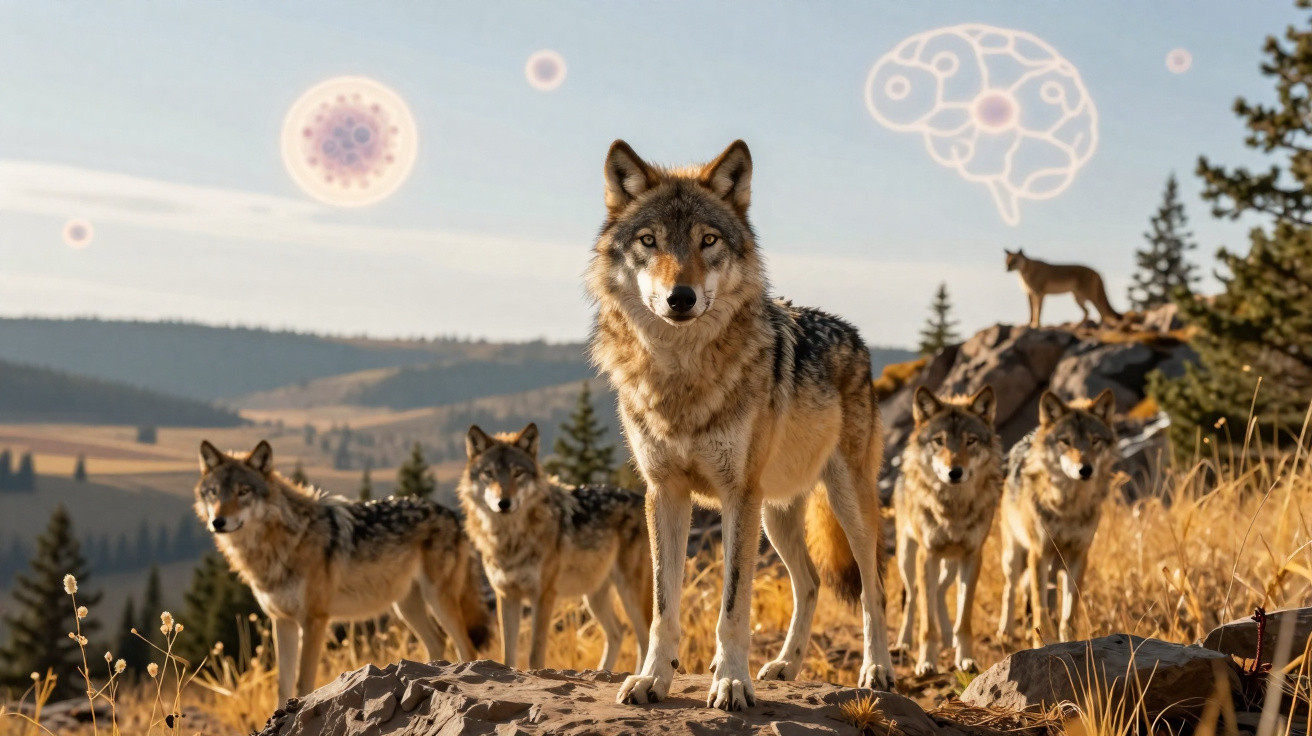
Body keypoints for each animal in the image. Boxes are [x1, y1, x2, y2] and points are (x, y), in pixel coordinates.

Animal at [195, 440, 489, 704]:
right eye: (214, 492)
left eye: (243, 491)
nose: (218, 521)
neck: (283, 540)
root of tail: (451, 514)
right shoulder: (282, 621)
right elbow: (283, 685)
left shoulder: (314, 620)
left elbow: (303, 683)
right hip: (406, 607)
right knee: (437, 641)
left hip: (438, 600)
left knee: (466, 646)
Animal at [457, 423, 652, 673]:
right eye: (488, 474)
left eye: (517, 473)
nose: (504, 503)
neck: (510, 540)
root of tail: (640, 499)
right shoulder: (507, 595)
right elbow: (507, 656)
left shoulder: (544, 595)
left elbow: (535, 653)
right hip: (594, 596)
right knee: (618, 632)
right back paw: (602, 671)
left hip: (629, 594)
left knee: (644, 638)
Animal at [587, 139, 894, 712]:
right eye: (649, 241)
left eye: (708, 240)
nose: (680, 297)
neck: (681, 377)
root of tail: (855, 336)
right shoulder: (664, 493)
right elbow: (663, 608)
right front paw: (652, 678)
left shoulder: (736, 494)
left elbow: (733, 608)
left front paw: (731, 682)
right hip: (774, 514)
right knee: (811, 582)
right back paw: (786, 665)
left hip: (844, 503)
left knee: (874, 588)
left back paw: (876, 670)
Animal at [894, 386, 1003, 676]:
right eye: (939, 441)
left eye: (971, 441)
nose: (955, 472)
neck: (953, 509)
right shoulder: (927, 555)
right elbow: (926, 621)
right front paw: (926, 662)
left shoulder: (972, 556)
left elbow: (964, 618)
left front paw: (965, 659)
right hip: (907, 558)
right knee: (913, 597)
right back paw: (903, 643)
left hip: (951, 564)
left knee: (940, 592)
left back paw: (947, 636)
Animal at [995, 389, 1119, 645]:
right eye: (1066, 441)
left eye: (1095, 440)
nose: (1085, 469)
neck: (1068, 507)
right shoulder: (1039, 552)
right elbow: (1039, 608)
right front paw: (1043, 643)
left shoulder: (1079, 555)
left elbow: (1069, 614)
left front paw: (1068, 641)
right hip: (1015, 555)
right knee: (1011, 589)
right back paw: (1005, 632)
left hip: (1056, 565)